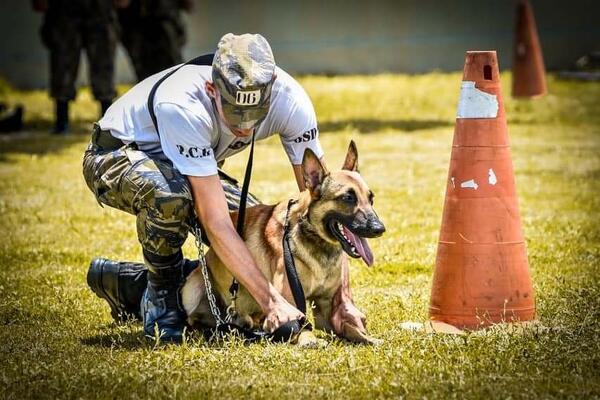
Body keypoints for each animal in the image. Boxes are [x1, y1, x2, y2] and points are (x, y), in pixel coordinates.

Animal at [182, 142, 384, 346]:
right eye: (348, 198)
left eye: (371, 198)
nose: (379, 228)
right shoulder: (291, 304)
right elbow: (300, 324)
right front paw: (309, 339)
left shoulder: (327, 311)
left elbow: (349, 327)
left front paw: (367, 337)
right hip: (191, 288)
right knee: (194, 318)